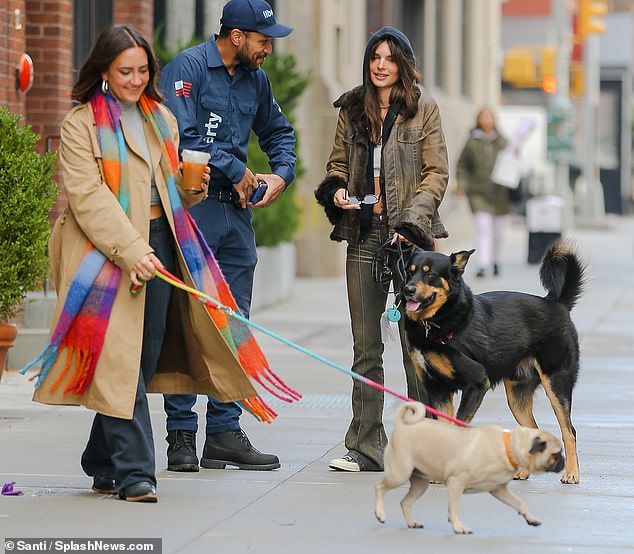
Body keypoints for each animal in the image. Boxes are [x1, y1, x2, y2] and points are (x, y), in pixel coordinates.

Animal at [400, 239, 584, 480]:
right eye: (409, 272)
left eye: (430, 274)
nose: (408, 290)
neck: (437, 326)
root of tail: (556, 302)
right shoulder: (437, 390)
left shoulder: (477, 383)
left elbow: (457, 427)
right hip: (517, 396)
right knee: (533, 429)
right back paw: (524, 471)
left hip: (556, 384)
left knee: (569, 430)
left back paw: (571, 473)